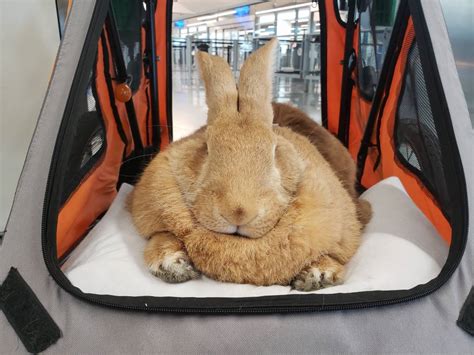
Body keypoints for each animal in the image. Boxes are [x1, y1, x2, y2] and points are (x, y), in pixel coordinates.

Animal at [131, 39, 370, 292]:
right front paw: (171, 265)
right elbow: (161, 235)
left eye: (274, 150)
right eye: (207, 147)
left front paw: (319, 274)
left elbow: (330, 253)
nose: (238, 212)